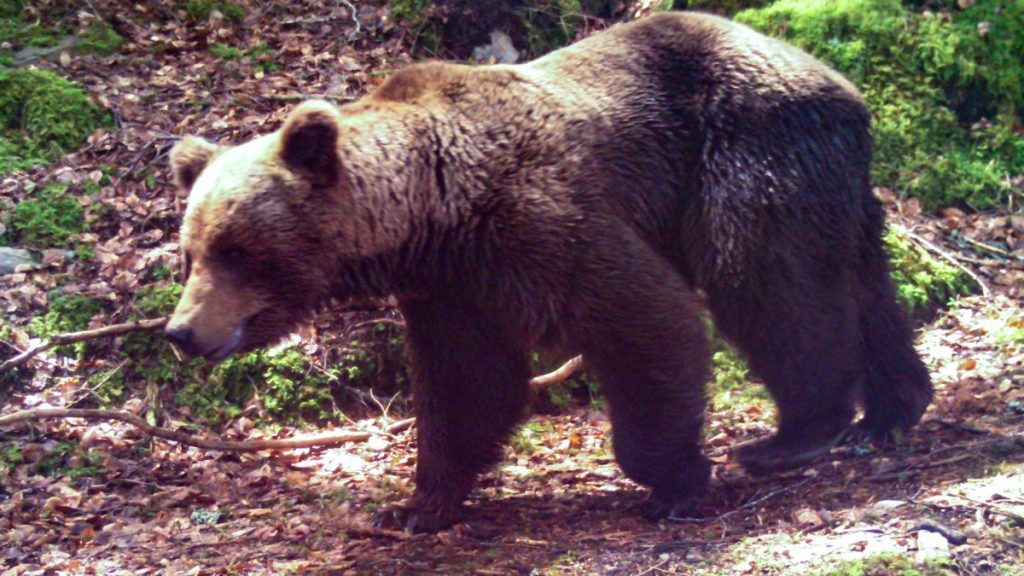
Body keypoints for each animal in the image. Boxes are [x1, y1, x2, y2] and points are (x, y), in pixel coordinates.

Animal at [164, 12, 933, 533]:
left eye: (235, 249)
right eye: (191, 251)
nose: (181, 331)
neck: (435, 210)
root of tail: (843, 86)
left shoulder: (543, 220)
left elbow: (648, 317)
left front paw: (676, 482)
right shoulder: (452, 289)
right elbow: (467, 384)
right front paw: (416, 505)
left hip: (746, 152)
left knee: (765, 280)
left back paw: (793, 434)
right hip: (830, 185)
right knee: (864, 286)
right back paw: (891, 412)